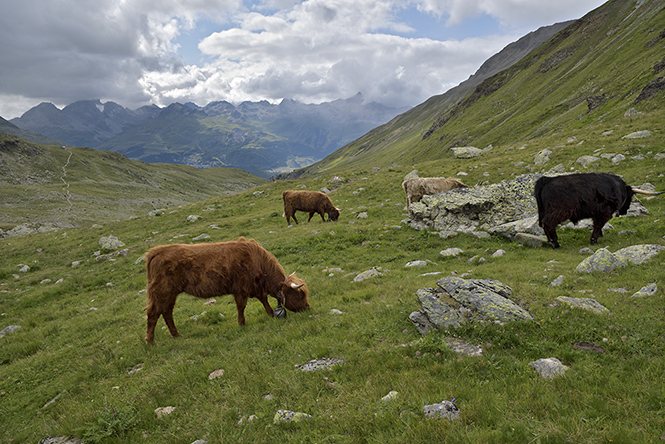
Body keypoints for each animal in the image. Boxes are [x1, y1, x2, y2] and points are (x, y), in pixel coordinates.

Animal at [143, 236, 308, 344]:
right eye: (300, 294)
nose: (308, 308)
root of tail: (157, 251)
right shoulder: (242, 288)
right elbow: (242, 306)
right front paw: (242, 324)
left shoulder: (254, 288)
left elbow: (263, 300)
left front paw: (270, 313)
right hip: (162, 291)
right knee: (153, 313)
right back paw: (150, 342)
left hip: (170, 294)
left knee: (167, 312)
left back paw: (176, 335)